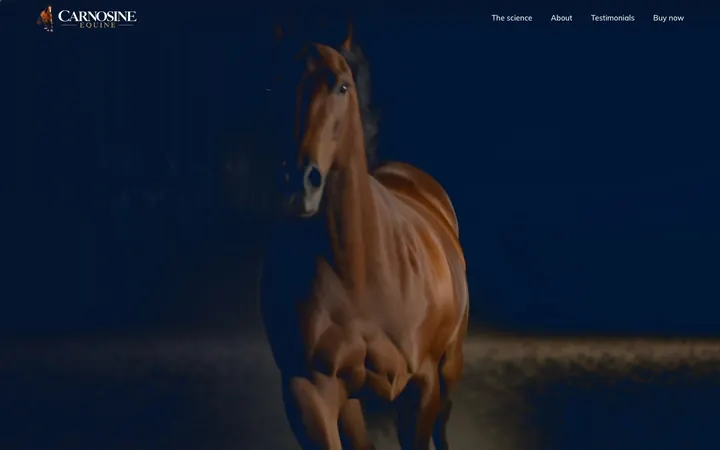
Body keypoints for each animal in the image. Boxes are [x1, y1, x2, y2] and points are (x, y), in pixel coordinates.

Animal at [259, 26, 469, 450]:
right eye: (275, 85)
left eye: (342, 86)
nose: (297, 184)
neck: (359, 273)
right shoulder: (309, 392)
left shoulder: (420, 386)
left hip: (450, 365)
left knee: (444, 418)